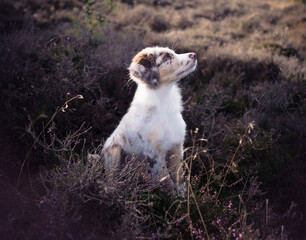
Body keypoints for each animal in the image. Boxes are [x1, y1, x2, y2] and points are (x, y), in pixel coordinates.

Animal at [103, 46, 198, 196]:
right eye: (166, 57)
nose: (194, 55)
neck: (163, 102)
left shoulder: (176, 147)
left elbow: (179, 177)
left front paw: (183, 198)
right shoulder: (155, 155)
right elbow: (167, 180)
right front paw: (173, 199)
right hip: (113, 151)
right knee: (111, 180)